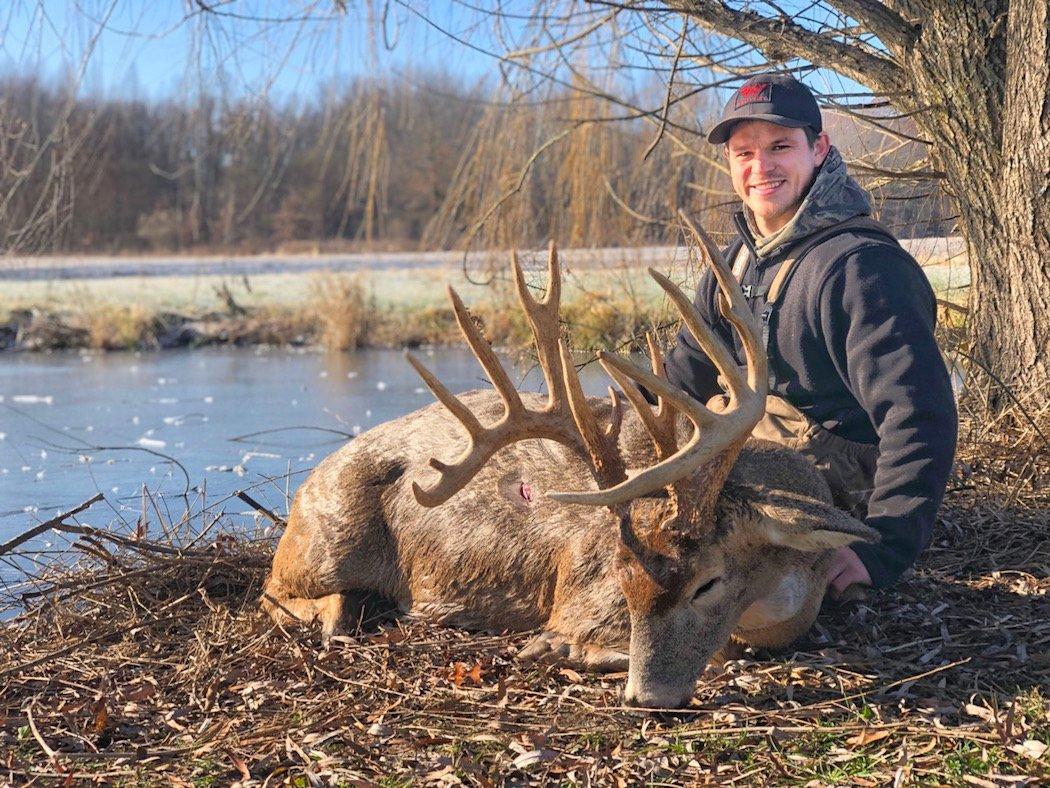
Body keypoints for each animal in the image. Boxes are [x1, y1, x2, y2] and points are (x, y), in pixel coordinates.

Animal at [261, 218, 877, 709]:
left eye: (709, 583)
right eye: (622, 580)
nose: (647, 697)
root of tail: (306, 486)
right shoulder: (579, 597)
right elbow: (572, 640)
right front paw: (563, 646)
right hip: (328, 536)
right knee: (276, 589)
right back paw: (344, 611)